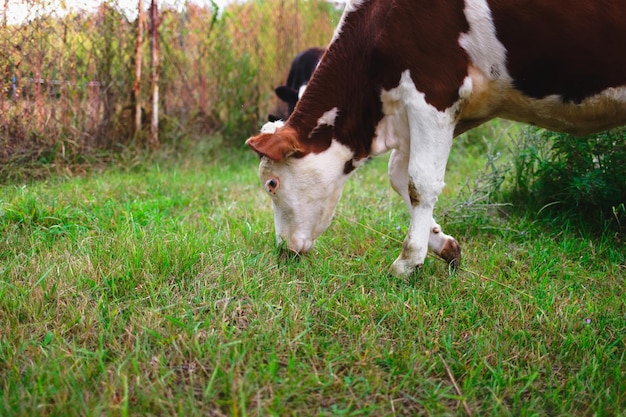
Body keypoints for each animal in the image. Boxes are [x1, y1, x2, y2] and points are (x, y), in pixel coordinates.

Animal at [246, 0, 624, 276]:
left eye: (272, 185)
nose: (284, 250)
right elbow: (400, 178)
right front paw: (443, 245)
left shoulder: (433, 91)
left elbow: (420, 182)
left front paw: (407, 261)